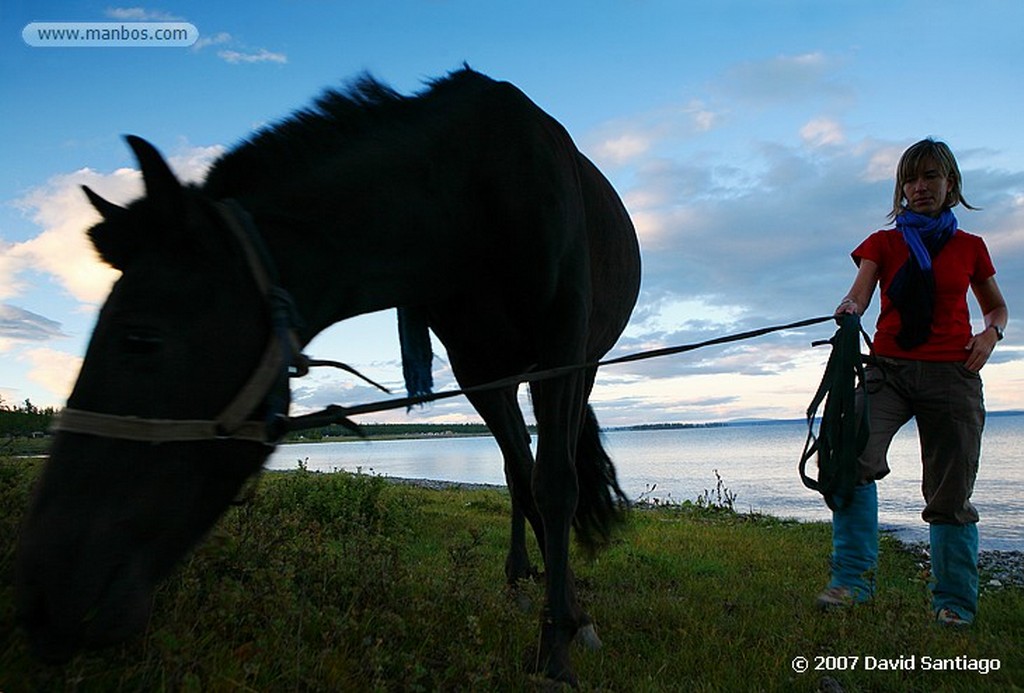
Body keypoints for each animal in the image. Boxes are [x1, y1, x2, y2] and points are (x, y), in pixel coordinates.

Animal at [16, 66, 638, 687]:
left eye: (140, 339)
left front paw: (561, 646)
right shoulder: (474, 367)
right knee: (515, 469)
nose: (42, 594)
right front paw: (560, 617)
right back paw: (518, 575)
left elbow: (554, 484)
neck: (472, 191)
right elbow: (525, 479)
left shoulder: (563, 346)